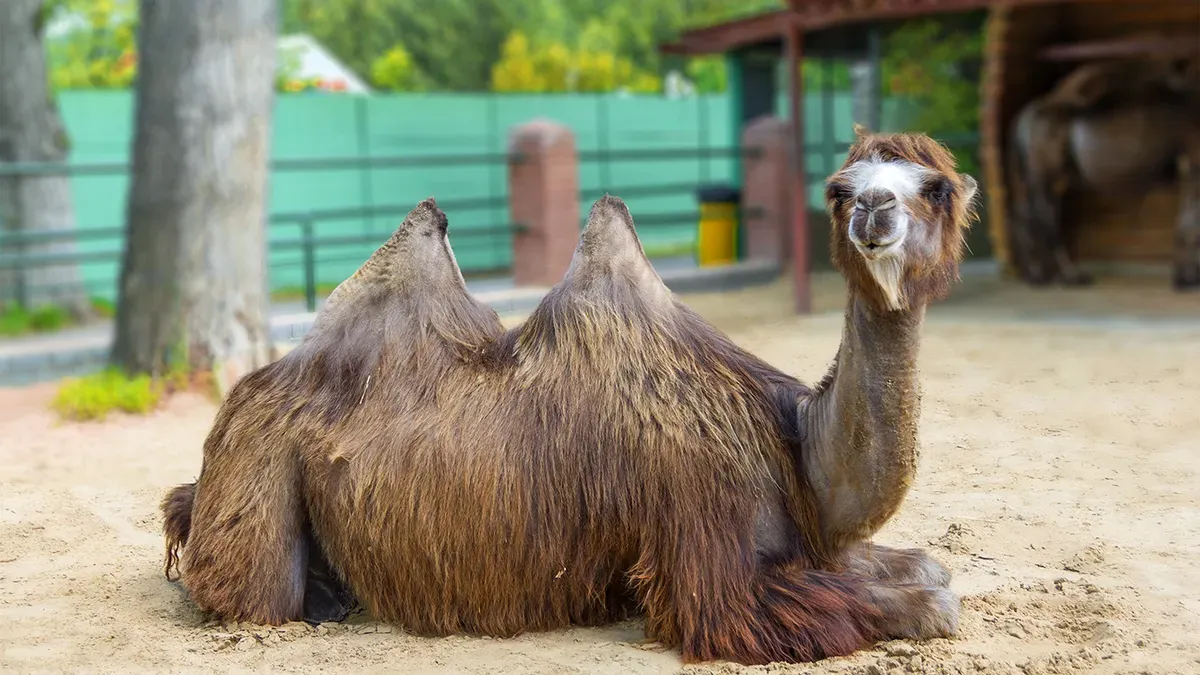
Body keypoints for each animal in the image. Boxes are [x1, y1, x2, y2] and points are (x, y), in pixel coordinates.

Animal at [159, 126, 979, 662]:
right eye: (840, 190)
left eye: (937, 188)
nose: (874, 210)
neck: (793, 448)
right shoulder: (713, 559)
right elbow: (924, 601)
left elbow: (926, 569)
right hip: (257, 484)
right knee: (250, 595)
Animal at [1003, 56, 1200, 288]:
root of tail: (1019, 120)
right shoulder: (1193, 163)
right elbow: (1190, 220)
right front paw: (1186, 279)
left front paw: (1184, 276)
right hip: (1044, 175)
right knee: (1043, 220)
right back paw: (1069, 277)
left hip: (1043, 178)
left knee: (1025, 215)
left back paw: (1036, 275)